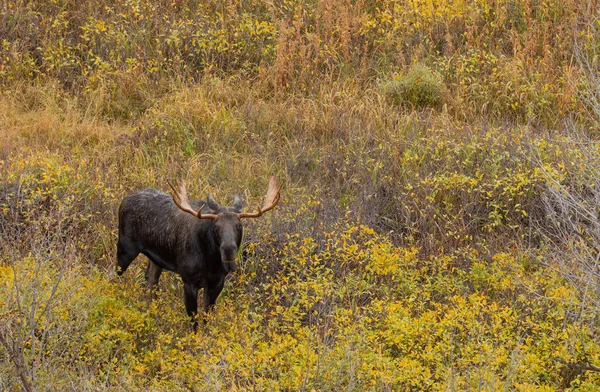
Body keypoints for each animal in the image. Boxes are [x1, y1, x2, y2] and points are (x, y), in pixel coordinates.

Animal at [115, 175, 282, 328]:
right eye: (216, 226)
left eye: (239, 226)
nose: (228, 251)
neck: (211, 262)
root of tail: (124, 200)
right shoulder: (189, 282)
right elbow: (193, 321)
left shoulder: (217, 282)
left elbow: (206, 318)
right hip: (125, 248)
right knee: (113, 274)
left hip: (156, 258)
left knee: (151, 280)